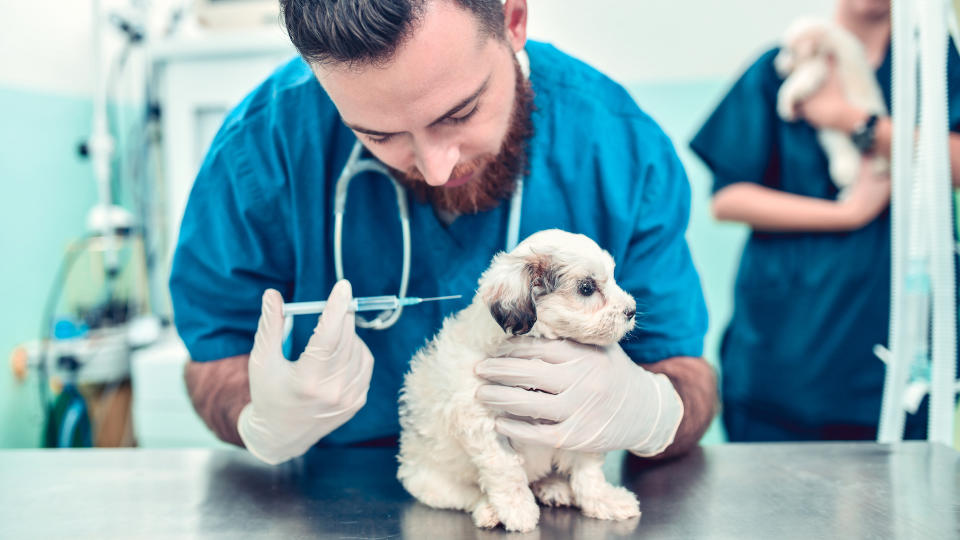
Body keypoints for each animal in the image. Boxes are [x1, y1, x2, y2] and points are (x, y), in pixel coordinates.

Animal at [394, 228, 640, 532]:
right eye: (586, 288)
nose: (631, 310)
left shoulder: (579, 421)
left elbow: (588, 472)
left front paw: (603, 500)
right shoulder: (484, 424)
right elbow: (506, 471)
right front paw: (517, 509)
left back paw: (553, 487)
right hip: (430, 480)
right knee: (466, 494)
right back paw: (489, 509)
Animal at [772, 17, 884, 195]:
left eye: (790, 51)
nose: (775, 65)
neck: (830, 39)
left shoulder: (817, 66)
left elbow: (793, 84)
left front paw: (785, 107)